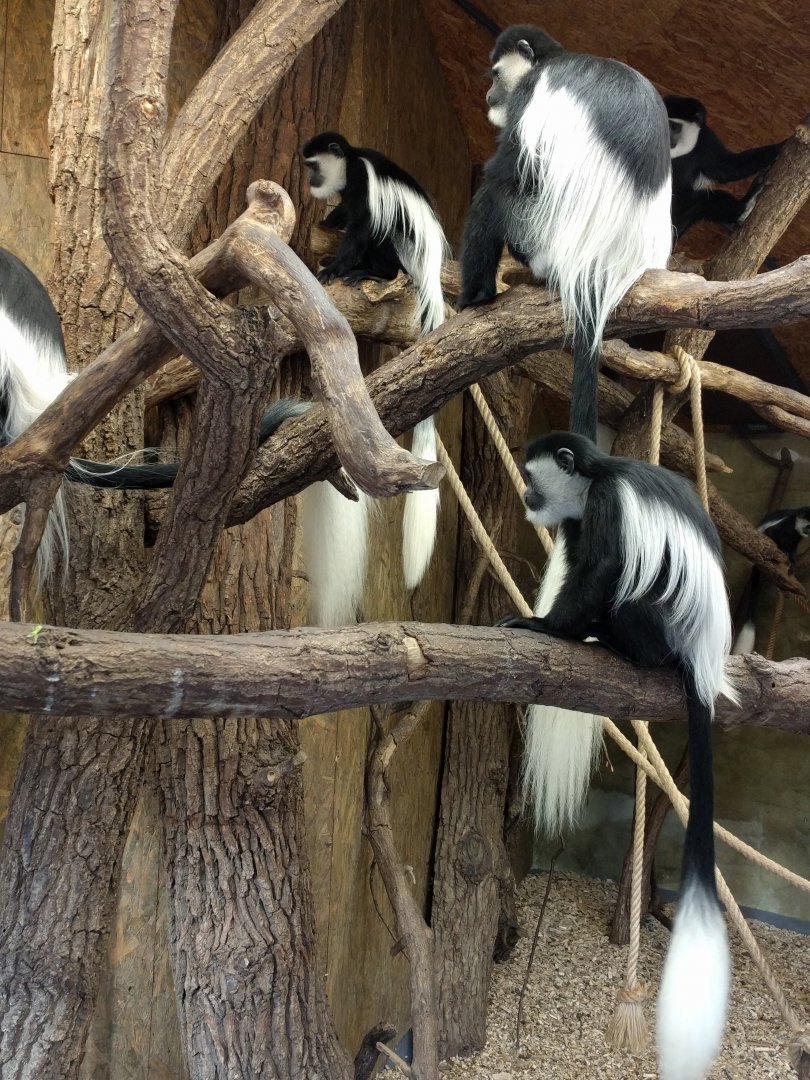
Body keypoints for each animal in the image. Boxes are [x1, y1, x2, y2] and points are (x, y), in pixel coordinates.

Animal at [303, 131, 450, 592]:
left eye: (313, 165)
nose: (311, 182)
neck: (349, 164)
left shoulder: (364, 185)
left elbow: (362, 227)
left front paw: (334, 268)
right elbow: (345, 216)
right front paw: (327, 225)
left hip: (402, 248)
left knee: (383, 235)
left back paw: (370, 275)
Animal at [458, 25, 672, 444]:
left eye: (495, 75)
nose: (489, 97)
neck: (551, 60)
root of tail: (605, 267)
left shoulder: (531, 95)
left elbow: (508, 170)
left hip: (541, 237)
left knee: (496, 193)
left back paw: (476, 296)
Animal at [497, 431, 736, 1080]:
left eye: (533, 477)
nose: (527, 497)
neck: (597, 474)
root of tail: (703, 661)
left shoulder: (604, 508)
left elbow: (600, 571)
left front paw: (545, 627)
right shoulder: (577, 520)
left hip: (662, 622)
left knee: (630, 594)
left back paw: (612, 639)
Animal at [666, 95, 784, 239]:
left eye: (674, 126)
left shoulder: (705, 141)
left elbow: (726, 167)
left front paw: (784, 144)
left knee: (703, 202)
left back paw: (743, 209)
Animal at [732, 506, 810, 654]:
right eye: (809, 526)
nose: (809, 532)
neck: (796, 524)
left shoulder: (796, 537)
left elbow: (793, 548)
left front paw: (792, 562)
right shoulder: (787, 525)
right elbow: (773, 532)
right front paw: (784, 554)